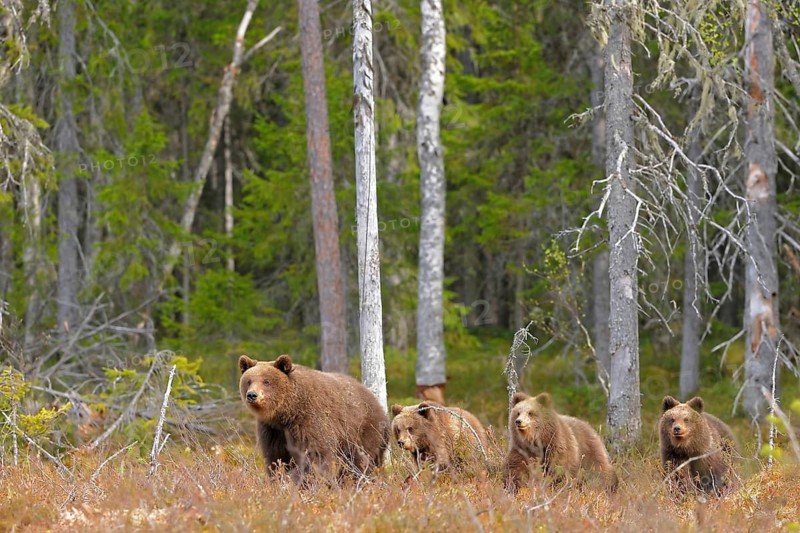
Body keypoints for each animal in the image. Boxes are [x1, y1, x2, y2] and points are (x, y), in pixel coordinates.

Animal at [239, 354, 389, 484]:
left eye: (266, 381)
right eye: (248, 381)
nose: (252, 395)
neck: (286, 413)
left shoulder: (309, 420)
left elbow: (314, 454)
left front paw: (304, 480)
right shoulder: (273, 430)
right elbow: (276, 457)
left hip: (364, 429)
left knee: (361, 459)